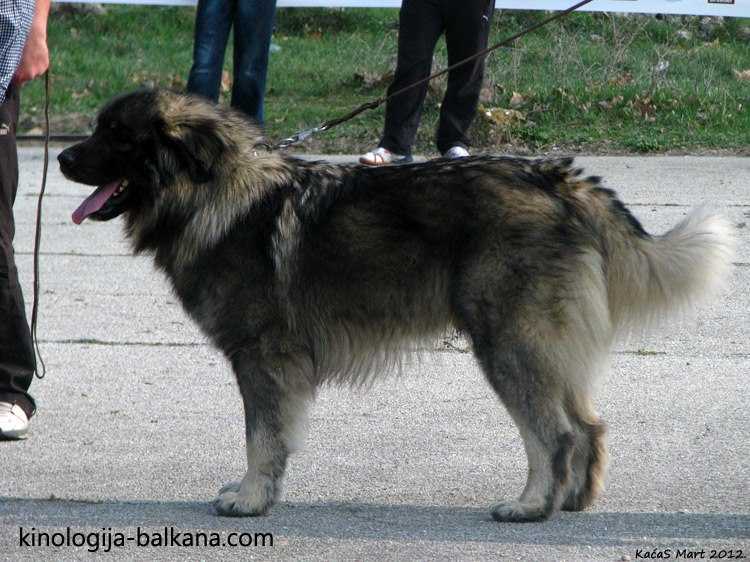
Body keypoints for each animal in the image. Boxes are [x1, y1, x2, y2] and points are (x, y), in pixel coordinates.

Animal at [57, 88, 736, 520]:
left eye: (116, 136)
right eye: (98, 128)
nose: (61, 155)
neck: (212, 191)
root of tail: (560, 181)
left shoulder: (262, 358)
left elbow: (261, 436)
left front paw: (249, 499)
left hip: (508, 342)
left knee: (556, 434)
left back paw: (530, 506)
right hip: (544, 344)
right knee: (588, 424)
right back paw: (572, 500)